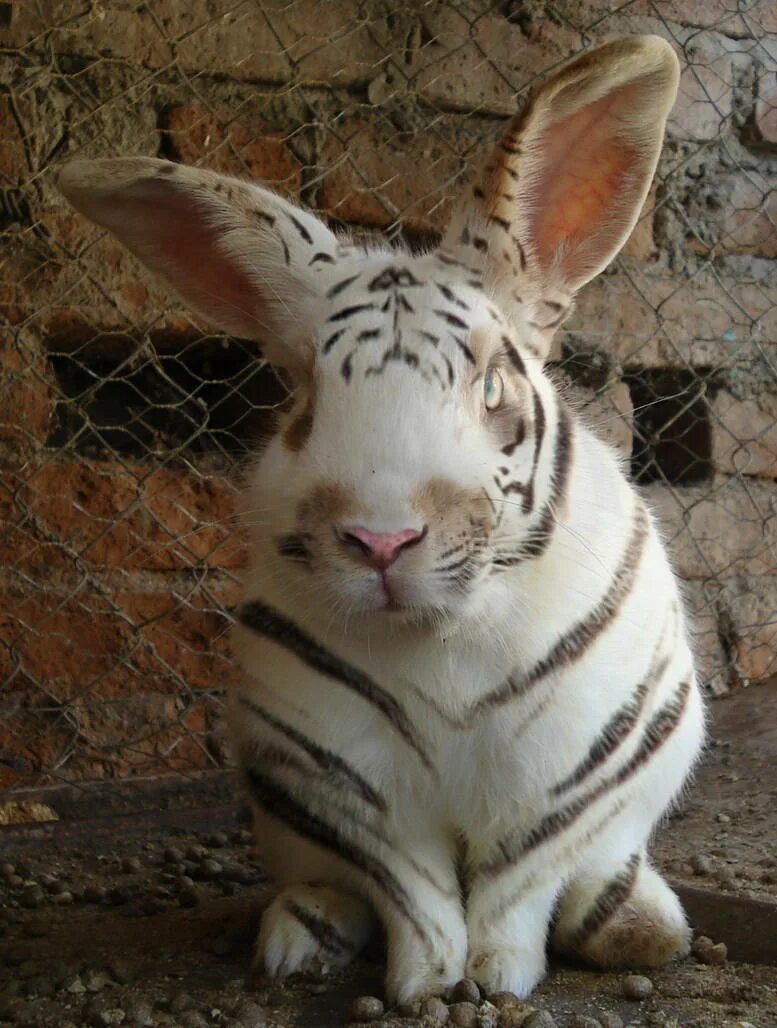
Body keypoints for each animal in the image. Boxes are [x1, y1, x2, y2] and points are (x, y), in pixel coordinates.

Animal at [58, 35, 705, 1006]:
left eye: (490, 385)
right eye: (302, 399)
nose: (381, 539)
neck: (438, 638)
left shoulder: (559, 784)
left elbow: (516, 889)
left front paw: (497, 983)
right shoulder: (350, 785)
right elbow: (415, 895)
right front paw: (427, 987)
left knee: (599, 878)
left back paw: (640, 928)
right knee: (328, 885)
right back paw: (296, 942)